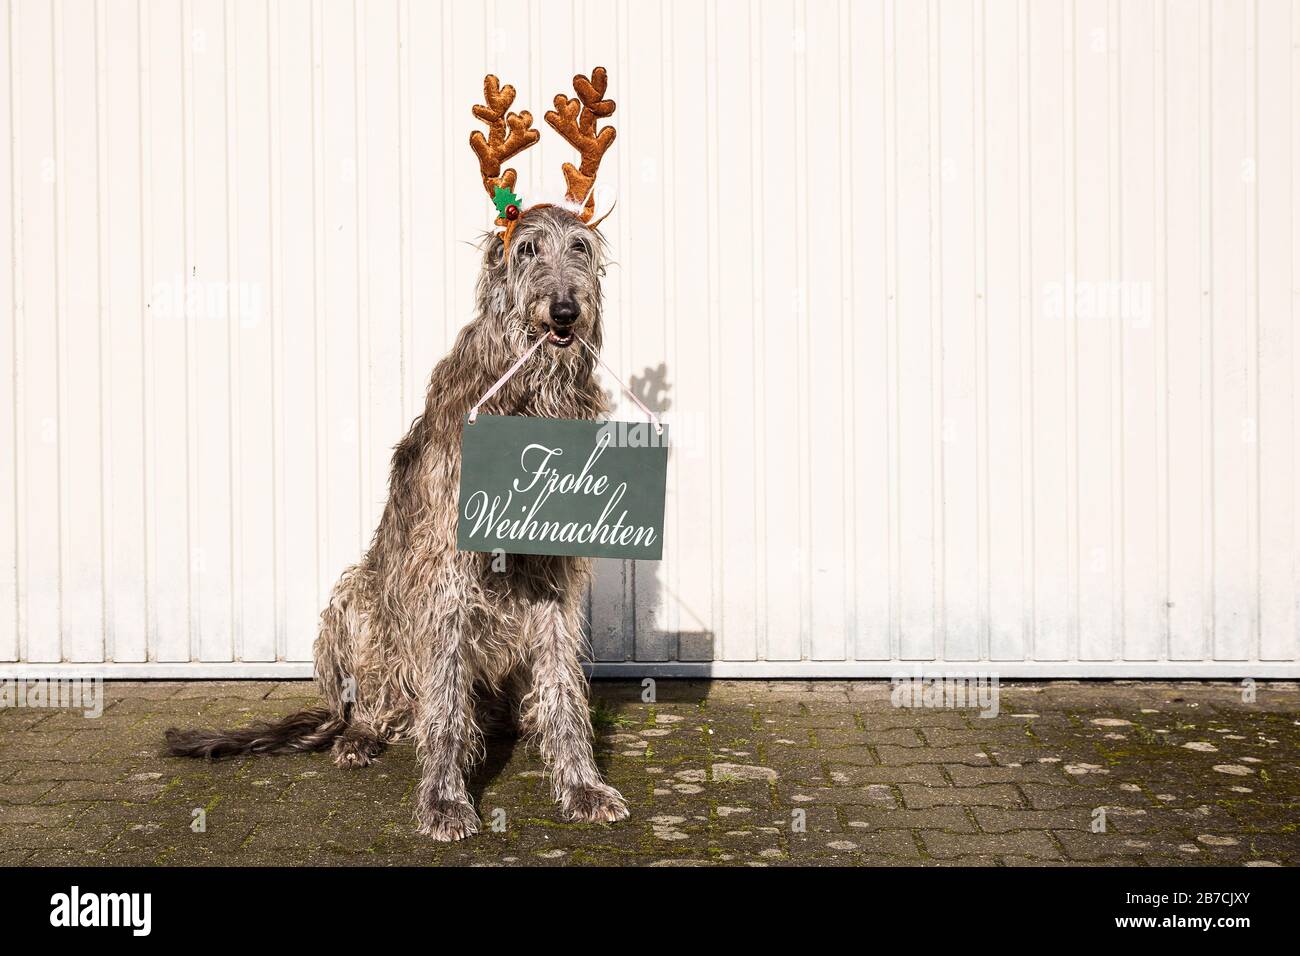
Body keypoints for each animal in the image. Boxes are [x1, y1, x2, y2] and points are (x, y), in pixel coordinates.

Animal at [165, 70, 631, 842]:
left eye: (581, 250)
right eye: (527, 249)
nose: (565, 312)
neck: (528, 399)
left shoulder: (552, 575)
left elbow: (563, 686)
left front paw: (582, 784)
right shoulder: (444, 568)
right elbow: (444, 699)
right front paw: (444, 799)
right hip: (354, 597)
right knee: (380, 704)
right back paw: (360, 735)